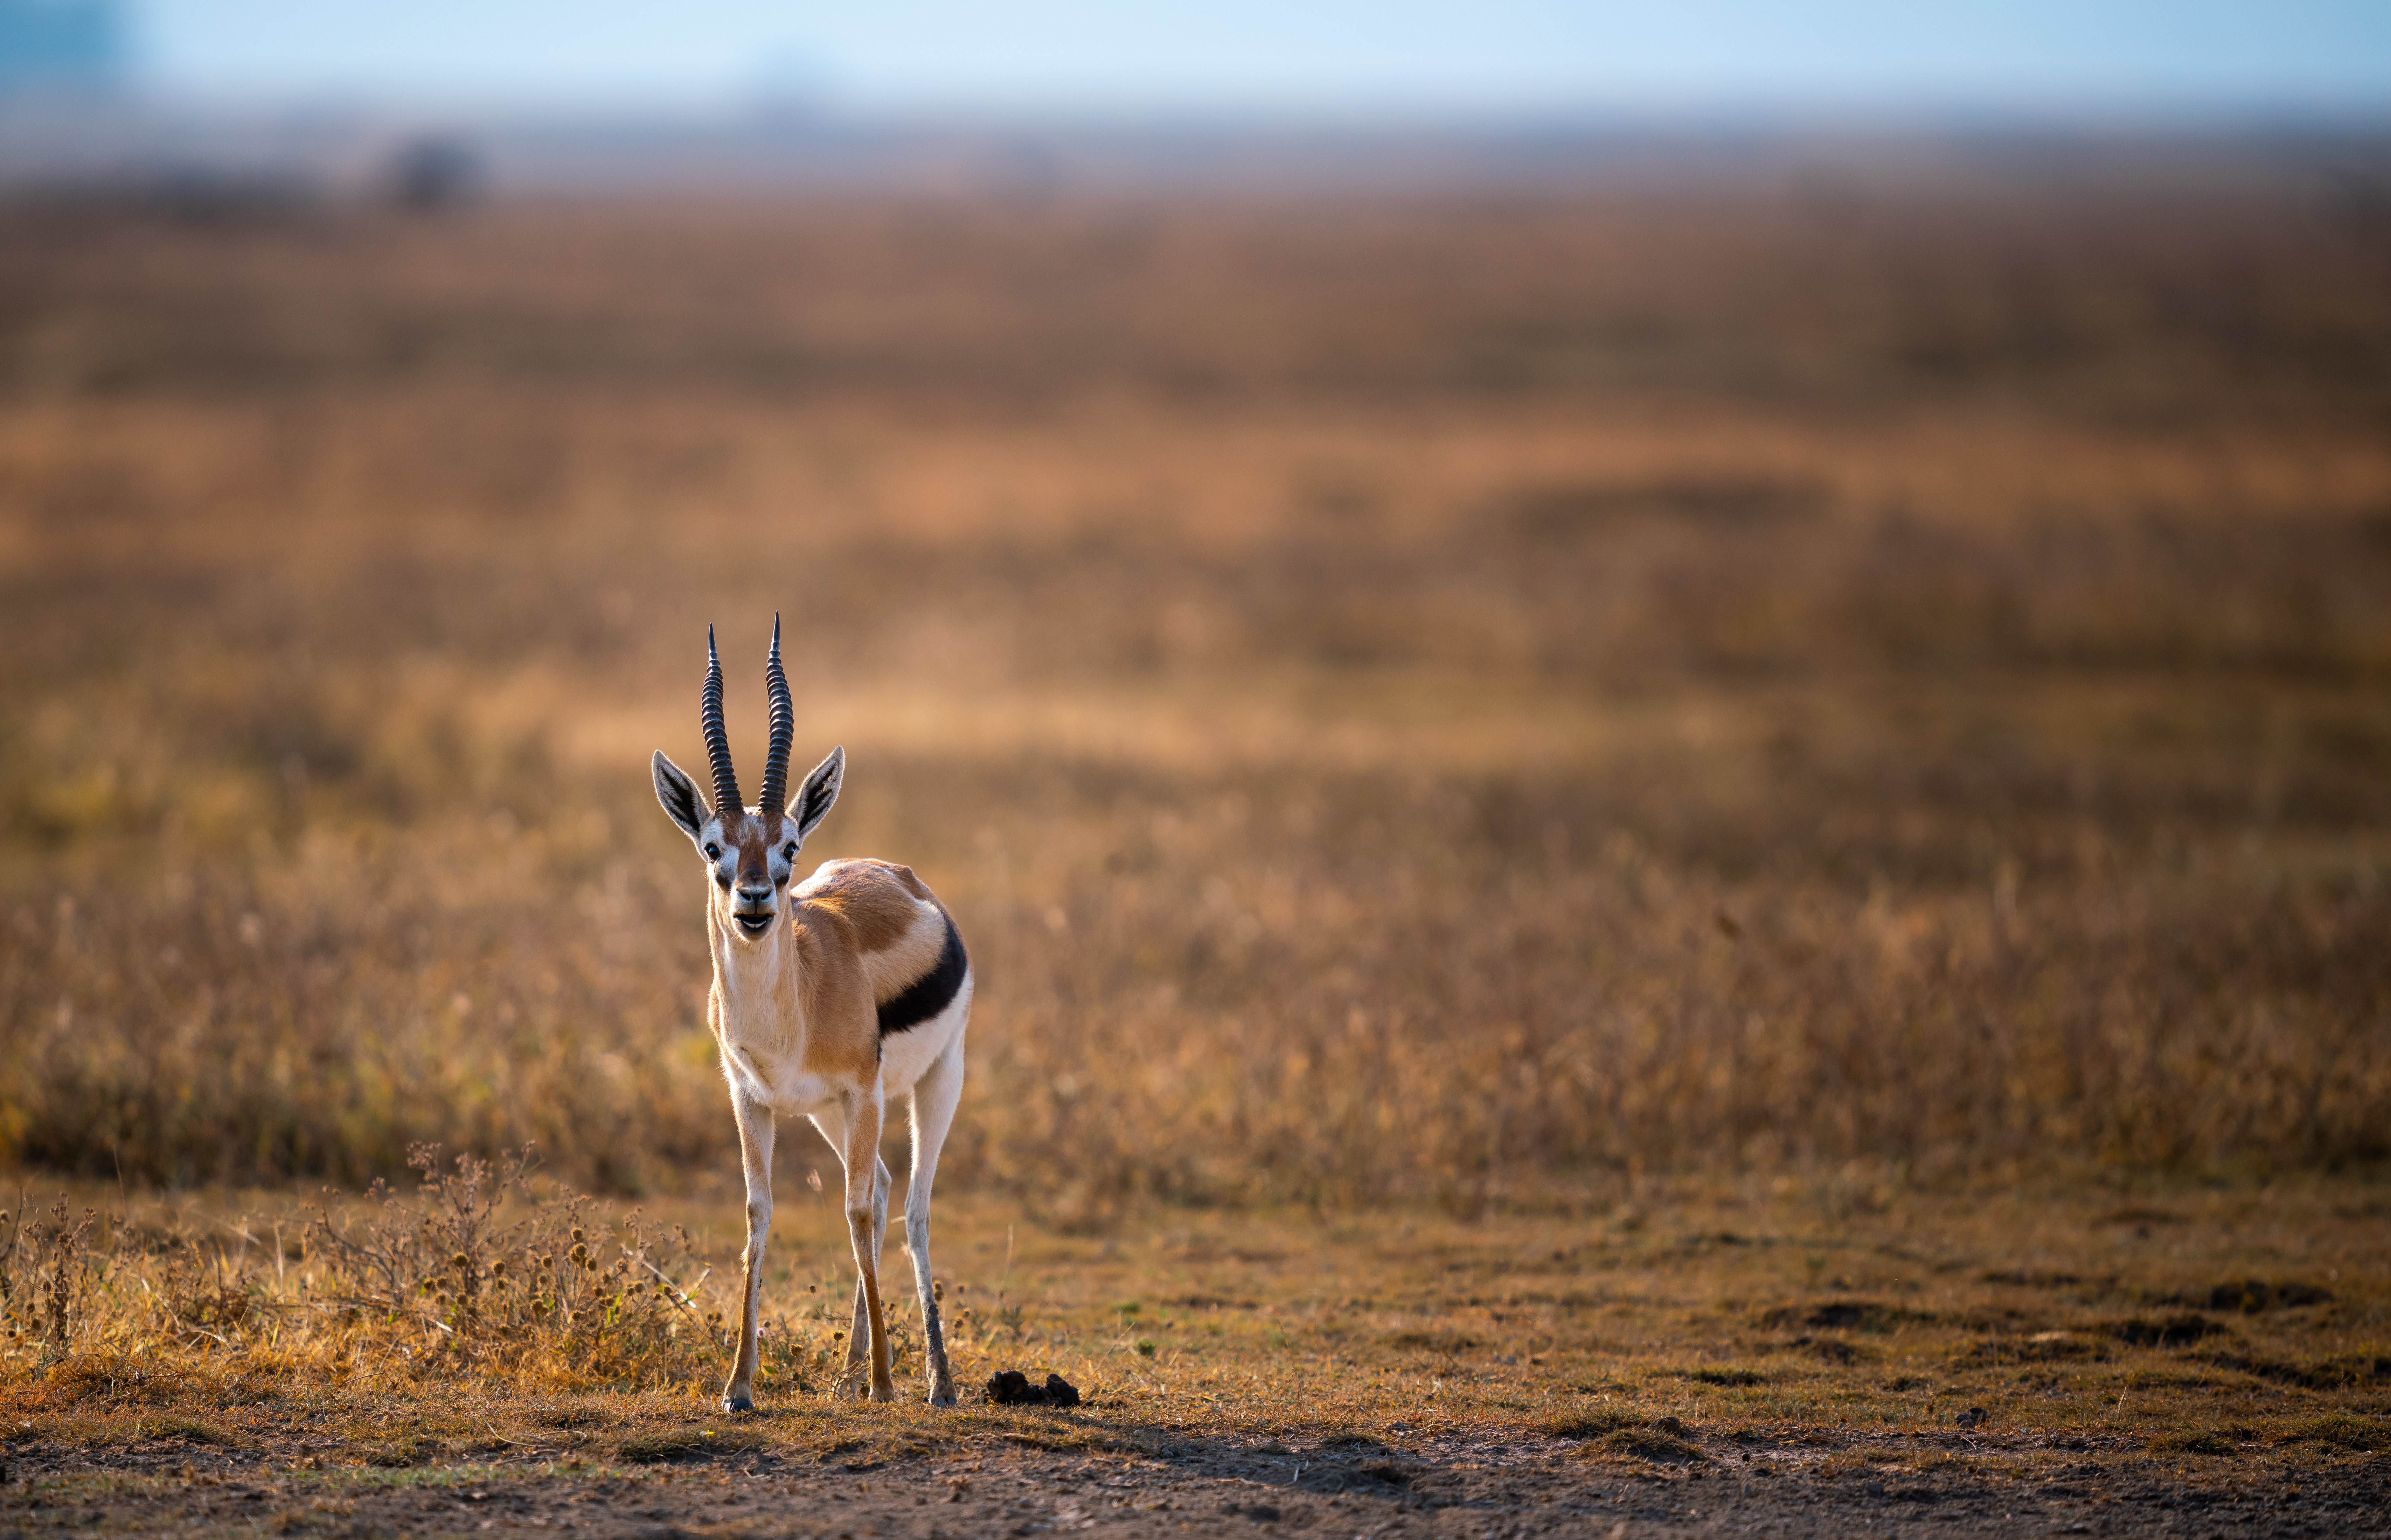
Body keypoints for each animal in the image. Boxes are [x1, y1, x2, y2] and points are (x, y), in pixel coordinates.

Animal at [651, 619, 972, 1409]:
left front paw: (887, 1383)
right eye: (713, 847)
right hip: (829, 1114)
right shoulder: (752, 1099)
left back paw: (935, 1382)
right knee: (883, 1189)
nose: (755, 900)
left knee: (911, 1207)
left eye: (789, 845)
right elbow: (758, 1214)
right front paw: (738, 1387)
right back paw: (849, 1373)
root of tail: (900, 873)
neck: (792, 1008)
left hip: (932, 1084)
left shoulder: (862, 1092)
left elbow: (855, 1214)